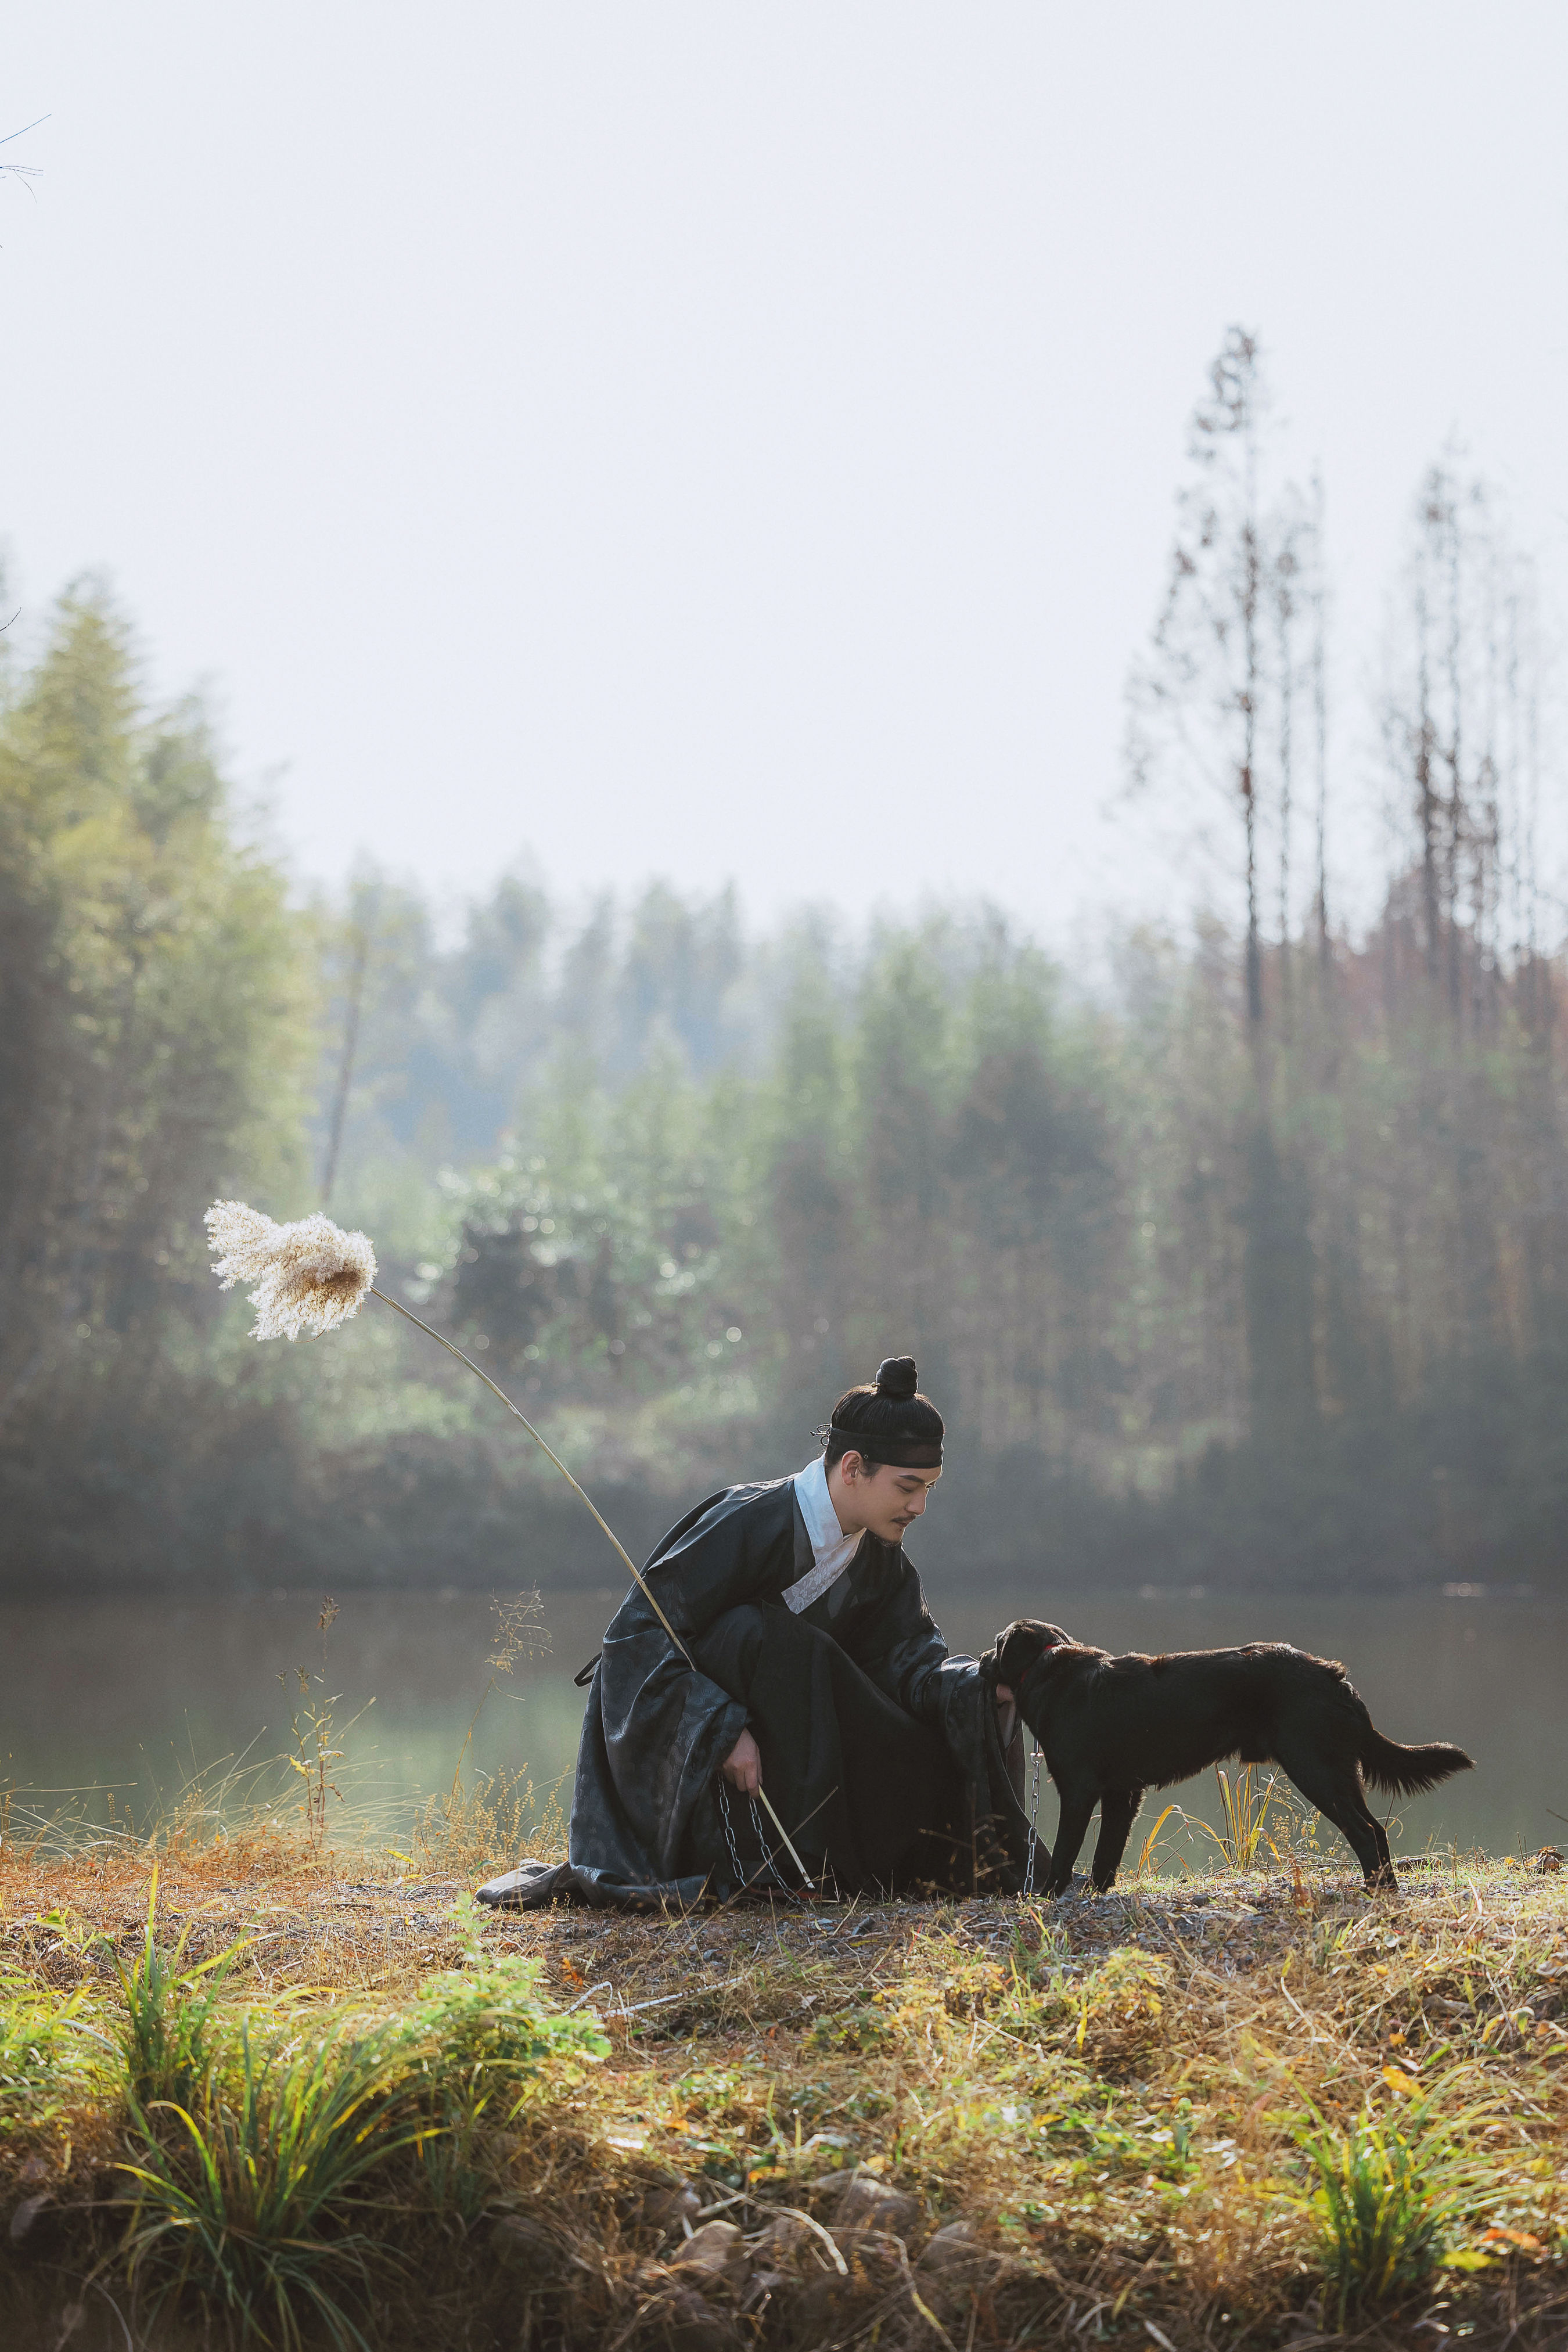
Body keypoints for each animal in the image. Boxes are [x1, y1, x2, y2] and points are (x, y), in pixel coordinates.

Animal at [987, 1618, 1476, 1891]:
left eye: (996, 1644)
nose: (983, 1658)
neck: (1050, 1671)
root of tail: (1334, 1677)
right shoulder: (1123, 1792)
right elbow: (1108, 1853)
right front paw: (1098, 1892)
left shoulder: (1079, 1789)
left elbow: (1065, 1851)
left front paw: (1048, 1894)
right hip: (1339, 1770)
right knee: (1376, 1829)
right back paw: (1387, 1889)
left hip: (1314, 1768)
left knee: (1363, 1832)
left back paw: (1373, 1891)